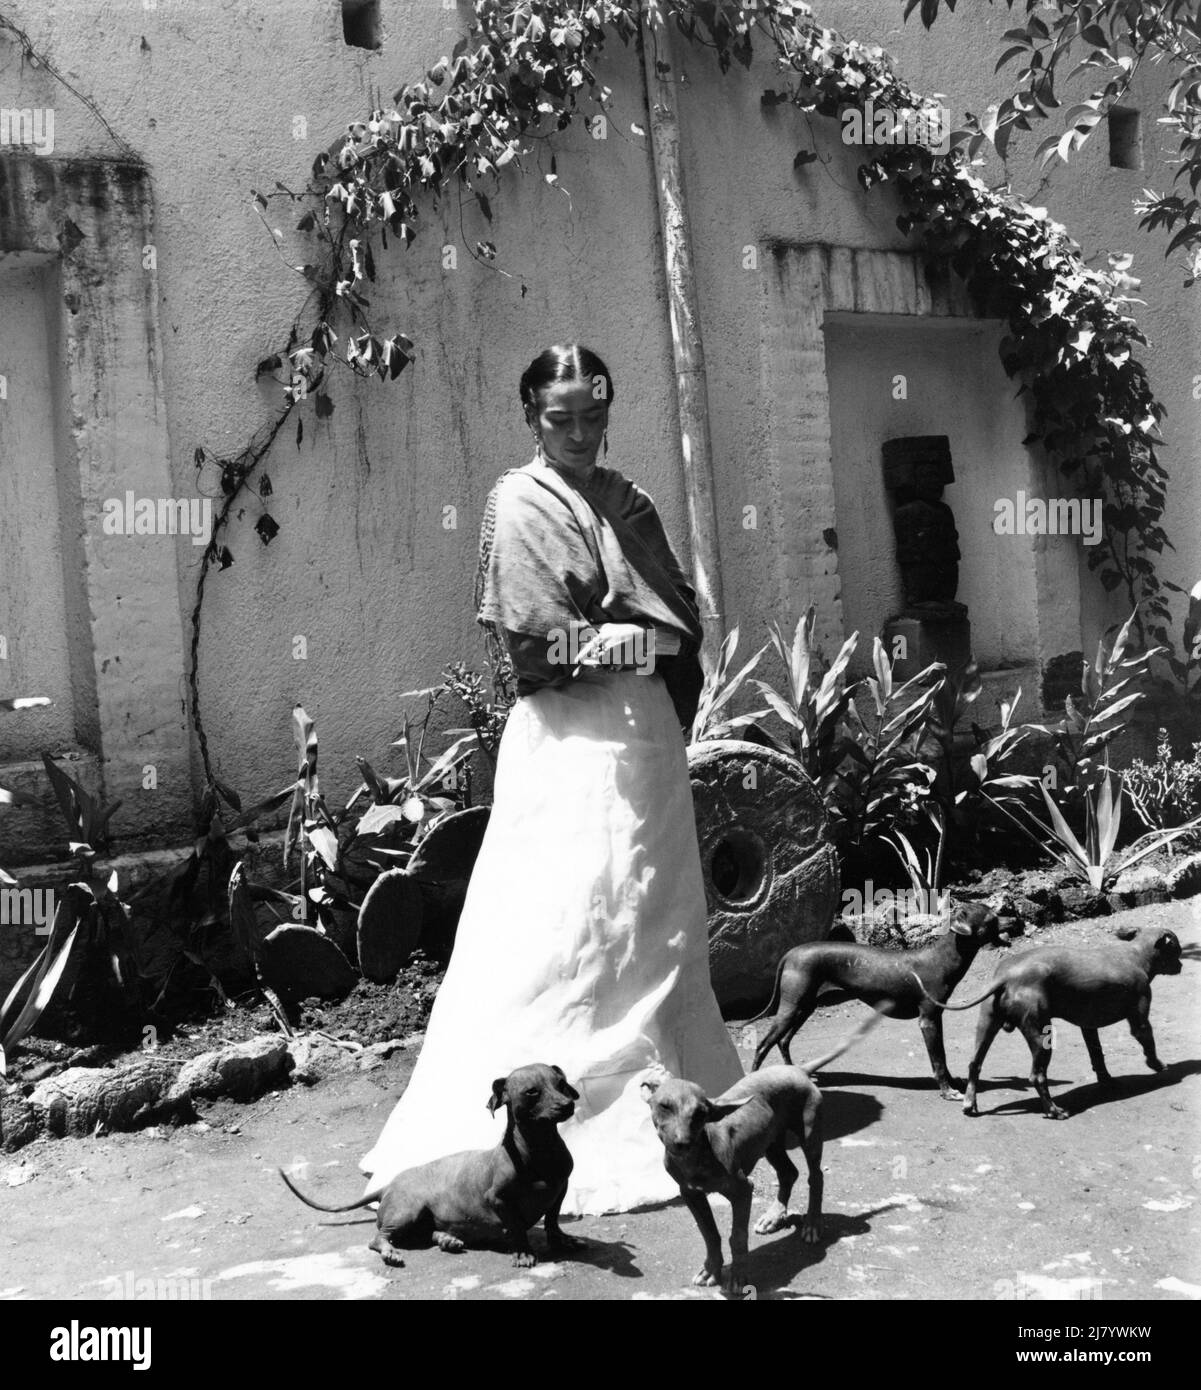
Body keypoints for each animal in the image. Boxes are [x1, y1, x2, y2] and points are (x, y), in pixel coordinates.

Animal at [280, 1061, 581, 1273]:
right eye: (532, 1092)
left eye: (561, 1084)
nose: (568, 1105)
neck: (540, 1150)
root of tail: (388, 1185)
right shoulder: (497, 1199)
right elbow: (517, 1228)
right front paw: (522, 1251)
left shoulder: (561, 1188)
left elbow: (553, 1219)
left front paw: (559, 1239)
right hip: (406, 1212)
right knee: (378, 1238)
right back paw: (391, 1251)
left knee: (425, 1234)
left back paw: (447, 1239)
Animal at [639, 1011, 884, 1289]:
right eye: (664, 1106)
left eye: (701, 1114)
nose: (682, 1143)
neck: (698, 1157)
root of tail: (797, 1069)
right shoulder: (691, 1194)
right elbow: (709, 1234)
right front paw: (711, 1269)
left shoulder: (743, 1190)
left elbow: (737, 1236)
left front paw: (738, 1276)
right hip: (770, 1142)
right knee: (789, 1173)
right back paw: (774, 1215)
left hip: (809, 1133)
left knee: (816, 1176)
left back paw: (812, 1224)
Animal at [750, 900, 1006, 1106]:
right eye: (991, 918)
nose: (1010, 917)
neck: (942, 959)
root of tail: (791, 952)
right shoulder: (928, 1021)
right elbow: (939, 1061)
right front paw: (947, 1091)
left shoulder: (937, 1019)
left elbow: (942, 1058)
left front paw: (953, 1083)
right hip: (792, 1007)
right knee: (763, 1045)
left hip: (805, 1007)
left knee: (783, 1041)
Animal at [917, 922, 1184, 1117]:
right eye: (1178, 949)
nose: (1182, 965)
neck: (1135, 954)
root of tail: (1007, 975)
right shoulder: (1139, 1019)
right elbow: (1148, 1043)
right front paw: (1158, 1066)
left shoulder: (1088, 1027)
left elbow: (1097, 1054)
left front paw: (1107, 1081)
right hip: (1040, 1036)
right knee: (1037, 1076)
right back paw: (1053, 1110)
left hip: (986, 1026)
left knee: (974, 1064)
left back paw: (970, 1103)